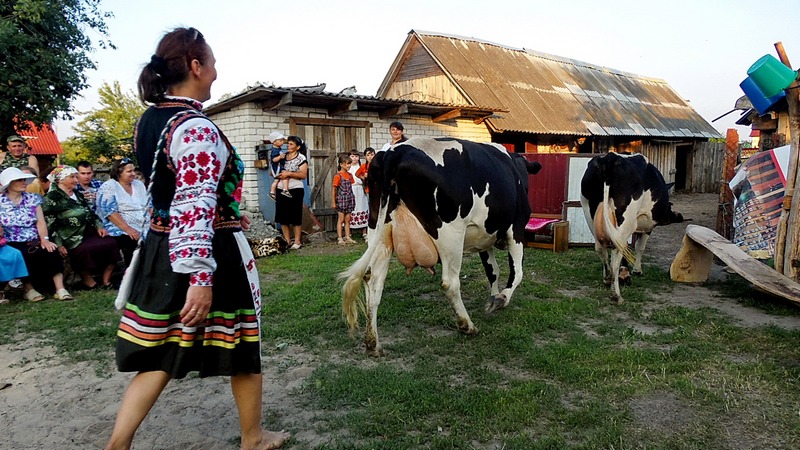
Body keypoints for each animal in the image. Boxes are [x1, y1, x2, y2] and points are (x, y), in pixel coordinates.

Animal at [340, 136, 540, 356]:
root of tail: (394, 152)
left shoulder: (484, 240)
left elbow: (492, 271)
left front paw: (493, 297)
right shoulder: (517, 229)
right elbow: (517, 272)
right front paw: (501, 298)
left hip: (379, 232)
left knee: (373, 281)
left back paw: (372, 343)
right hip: (450, 234)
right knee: (449, 282)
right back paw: (467, 325)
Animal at [580, 153, 684, 304]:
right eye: (670, 205)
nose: (677, 216)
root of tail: (611, 158)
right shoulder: (648, 226)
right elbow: (639, 246)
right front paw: (636, 270)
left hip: (590, 215)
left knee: (601, 249)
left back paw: (608, 278)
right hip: (625, 219)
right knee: (616, 253)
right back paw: (616, 294)